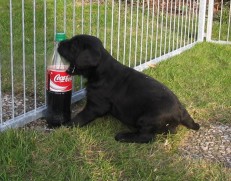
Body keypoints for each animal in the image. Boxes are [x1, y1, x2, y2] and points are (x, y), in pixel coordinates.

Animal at [56, 34, 199, 144]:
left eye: (73, 46)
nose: (59, 43)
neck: (101, 71)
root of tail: (181, 111)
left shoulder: (96, 105)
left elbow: (81, 117)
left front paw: (66, 126)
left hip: (147, 119)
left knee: (147, 137)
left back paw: (123, 136)